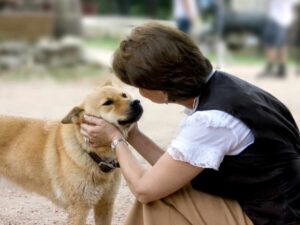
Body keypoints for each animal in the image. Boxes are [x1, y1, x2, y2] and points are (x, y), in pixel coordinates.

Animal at [0, 81, 144, 224]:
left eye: (124, 95)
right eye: (108, 102)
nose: (136, 102)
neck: (92, 153)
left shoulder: (105, 204)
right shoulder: (79, 208)